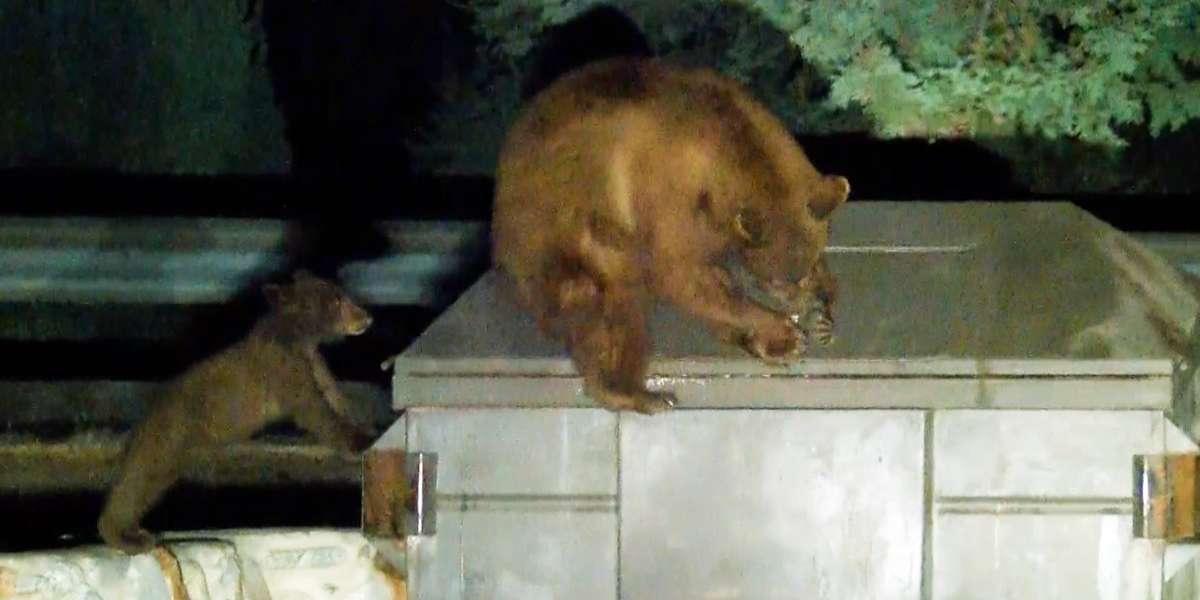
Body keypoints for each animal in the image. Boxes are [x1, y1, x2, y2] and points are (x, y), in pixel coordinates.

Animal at [97, 270, 376, 554]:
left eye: (341, 294)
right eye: (336, 300)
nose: (366, 316)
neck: (300, 337)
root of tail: (143, 420)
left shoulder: (314, 363)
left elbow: (333, 396)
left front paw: (364, 428)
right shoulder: (284, 368)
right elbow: (313, 409)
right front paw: (357, 442)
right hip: (168, 437)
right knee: (139, 480)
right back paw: (126, 537)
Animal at [492, 57, 850, 415]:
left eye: (807, 267)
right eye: (779, 279)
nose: (804, 301)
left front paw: (817, 308)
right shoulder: (664, 195)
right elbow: (676, 274)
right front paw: (780, 329)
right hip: (573, 241)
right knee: (618, 305)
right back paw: (640, 393)